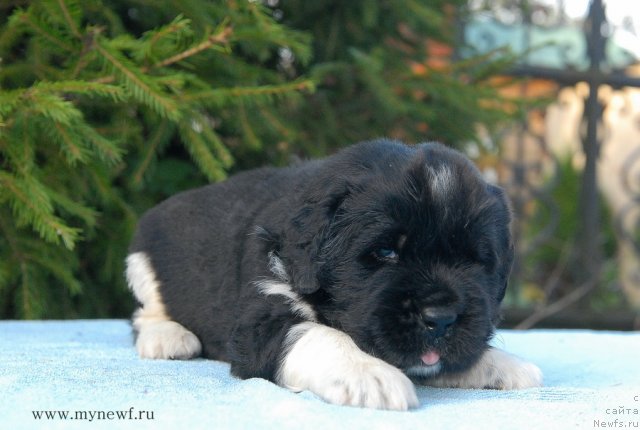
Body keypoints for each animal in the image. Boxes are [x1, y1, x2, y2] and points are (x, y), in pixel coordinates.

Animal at [127, 140, 544, 410]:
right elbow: (320, 335)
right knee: (143, 313)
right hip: (141, 262)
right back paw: (168, 337)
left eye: (475, 260)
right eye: (385, 252)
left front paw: (499, 363)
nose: (441, 318)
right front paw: (367, 373)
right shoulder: (261, 320)